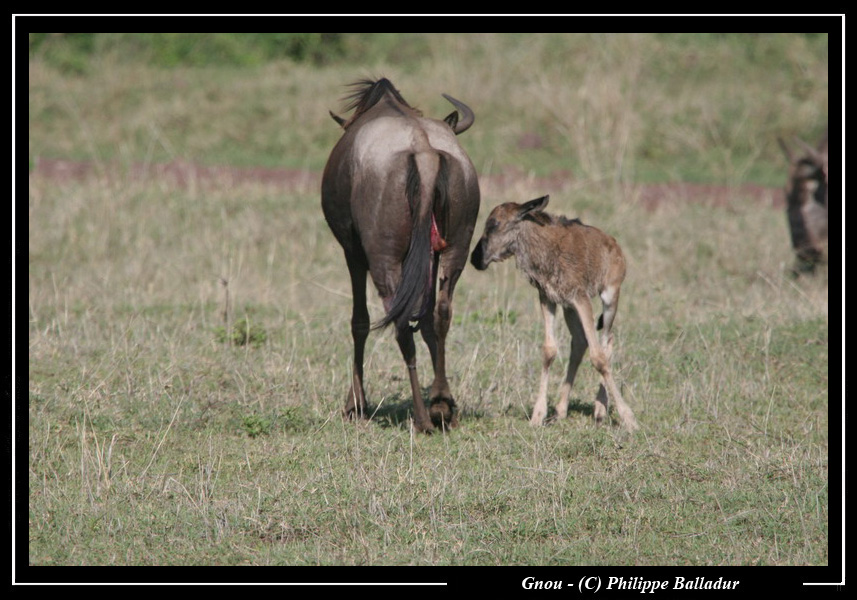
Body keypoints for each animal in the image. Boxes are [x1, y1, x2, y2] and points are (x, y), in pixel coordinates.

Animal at [472, 196, 640, 432]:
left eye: (494, 225)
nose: (475, 258)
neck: (544, 249)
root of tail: (615, 245)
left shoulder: (581, 298)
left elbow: (598, 357)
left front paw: (629, 418)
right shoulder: (549, 298)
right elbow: (549, 350)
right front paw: (538, 415)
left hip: (610, 297)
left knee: (607, 341)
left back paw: (600, 410)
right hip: (569, 308)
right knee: (580, 342)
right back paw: (562, 410)